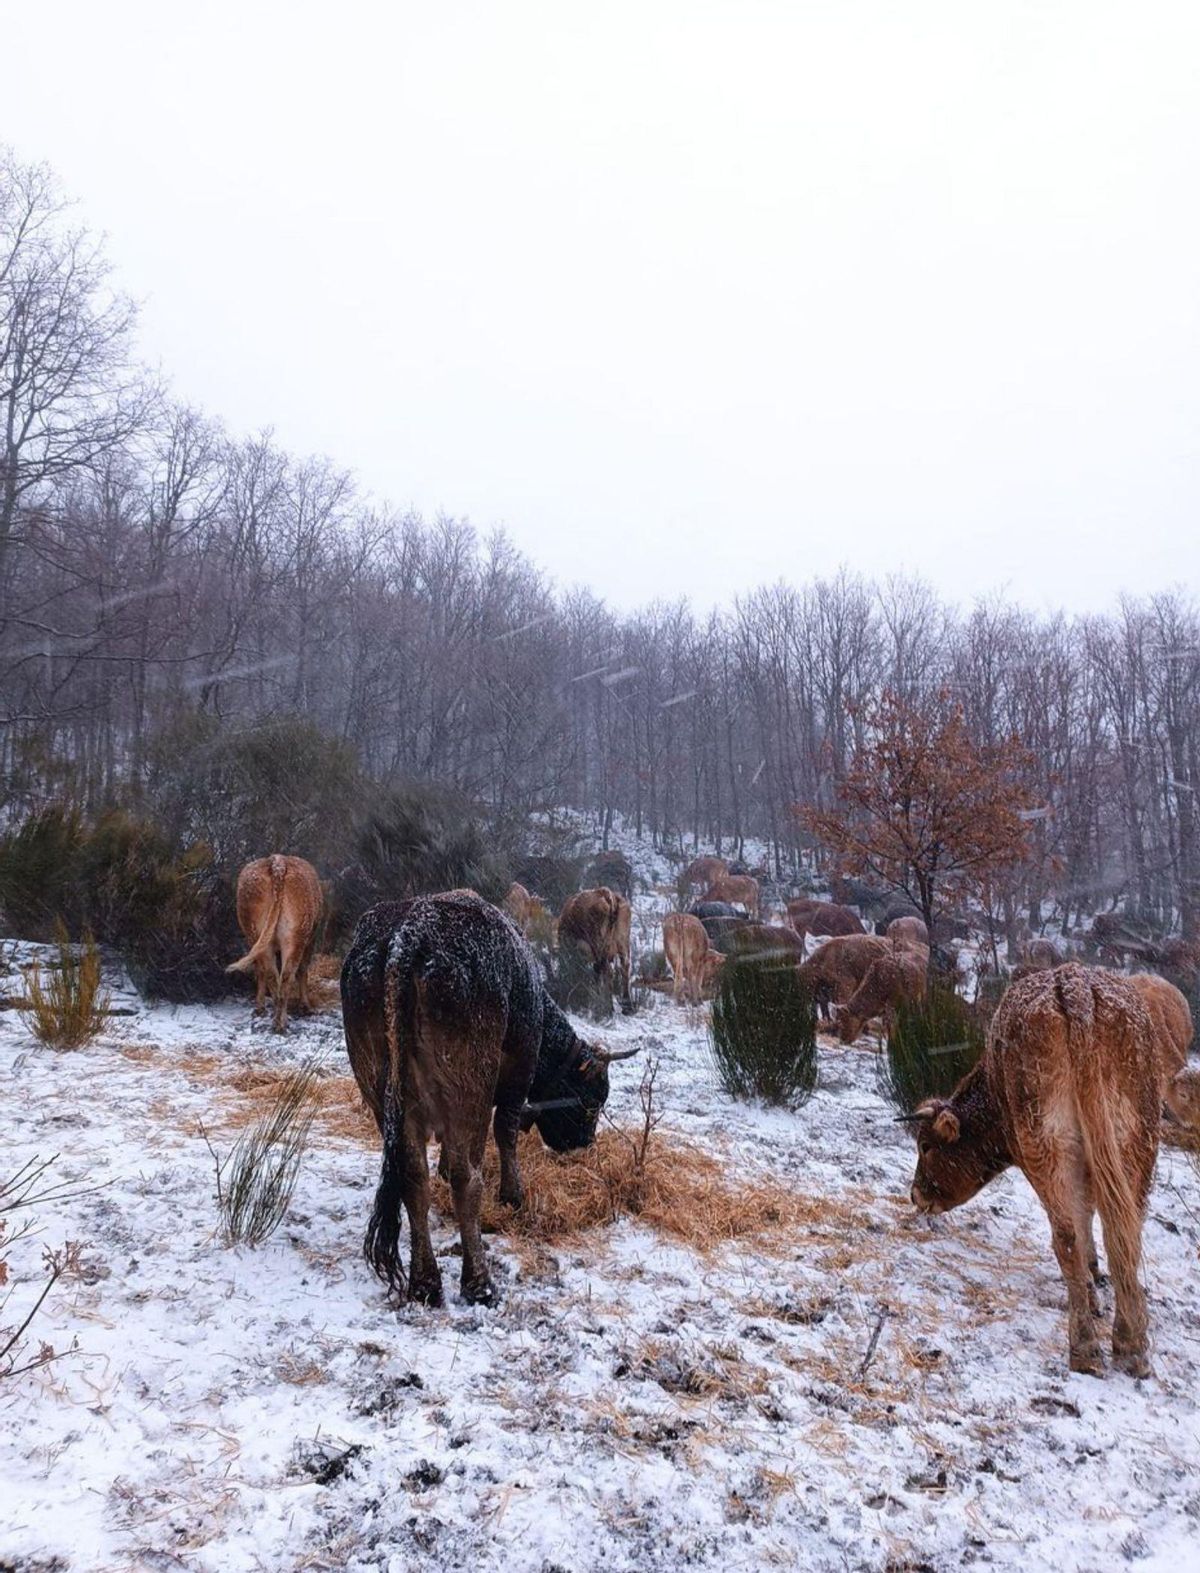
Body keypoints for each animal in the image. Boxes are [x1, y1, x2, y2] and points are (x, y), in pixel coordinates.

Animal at [226, 862, 323, 1031]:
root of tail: (277, 864)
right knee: (288, 974)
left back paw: (276, 1021)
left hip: (257, 934)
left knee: (271, 973)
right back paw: (281, 1022)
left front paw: (259, 1008)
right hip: (296, 936)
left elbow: (260, 970)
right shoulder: (311, 939)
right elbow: (303, 970)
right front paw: (306, 1006)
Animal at [342, 893, 641, 1308]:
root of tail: (408, 936)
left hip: (380, 1092)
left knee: (411, 1176)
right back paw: (478, 1282)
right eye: (594, 1099)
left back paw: (426, 1281)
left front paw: (444, 1168)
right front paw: (513, 1194)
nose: (583, 1143)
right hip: (471, 1090)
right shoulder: (519, 1071)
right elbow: (506, 1131)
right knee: (468, 1178)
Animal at [912, 962, 1163, 1384]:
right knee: (1124, 1231)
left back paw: (1085, 1350)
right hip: (1136, 1139)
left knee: (1066, 1236)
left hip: (1045, 1143)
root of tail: (1074, 983)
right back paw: (1131, 1346)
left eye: (925, 1145)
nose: (915, 1194)